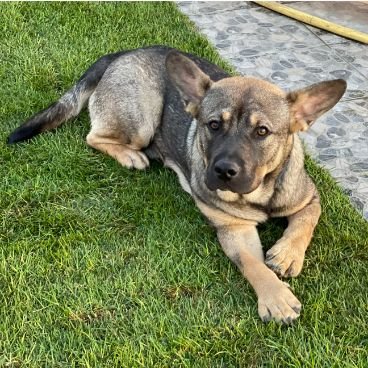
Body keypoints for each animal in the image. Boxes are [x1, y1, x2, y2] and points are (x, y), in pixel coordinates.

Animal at [8, 45, 348, 322]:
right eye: (213, 125)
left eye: (262, 131)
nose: (223, 171)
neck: (260, 193)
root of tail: (123, 53)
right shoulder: (234, 230)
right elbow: (253, 265)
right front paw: (275, 297)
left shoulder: (309, 198)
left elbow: (306, 221)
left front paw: (288, 254)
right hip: (142, 117)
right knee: (94, 137)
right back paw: (132, 156)